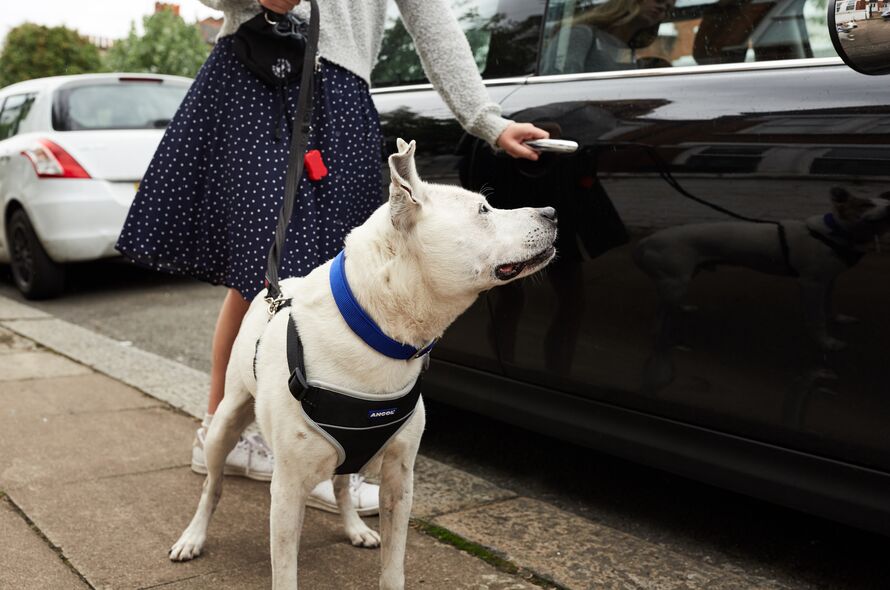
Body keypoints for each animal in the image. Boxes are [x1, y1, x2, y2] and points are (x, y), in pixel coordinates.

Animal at [167, 141, 556, 588]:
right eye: (483, 210)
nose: (552, 212)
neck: (375, 334)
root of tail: (277, 288)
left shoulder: (399, 480)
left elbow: (394, 565)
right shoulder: (287, 489)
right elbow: (285, 570)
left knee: (340, 487)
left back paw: (355, 527)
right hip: (226, 420)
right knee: (212, 487)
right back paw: (193, 537)